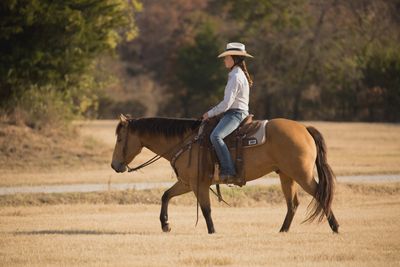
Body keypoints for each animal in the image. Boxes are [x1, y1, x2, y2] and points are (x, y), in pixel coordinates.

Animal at [111, 114, 340, 236]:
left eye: (120, 139)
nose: (114, 165)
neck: (187, 141)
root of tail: (304, 128)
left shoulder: (199, 185)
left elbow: (206, 210)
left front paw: (212, 231)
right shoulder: (186, 183)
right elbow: (166, 195)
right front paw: (165, 224)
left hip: (302, 175)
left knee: (321, 195)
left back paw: (335, 227)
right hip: (286, 175)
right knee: (292, 204)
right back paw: (282, 231)